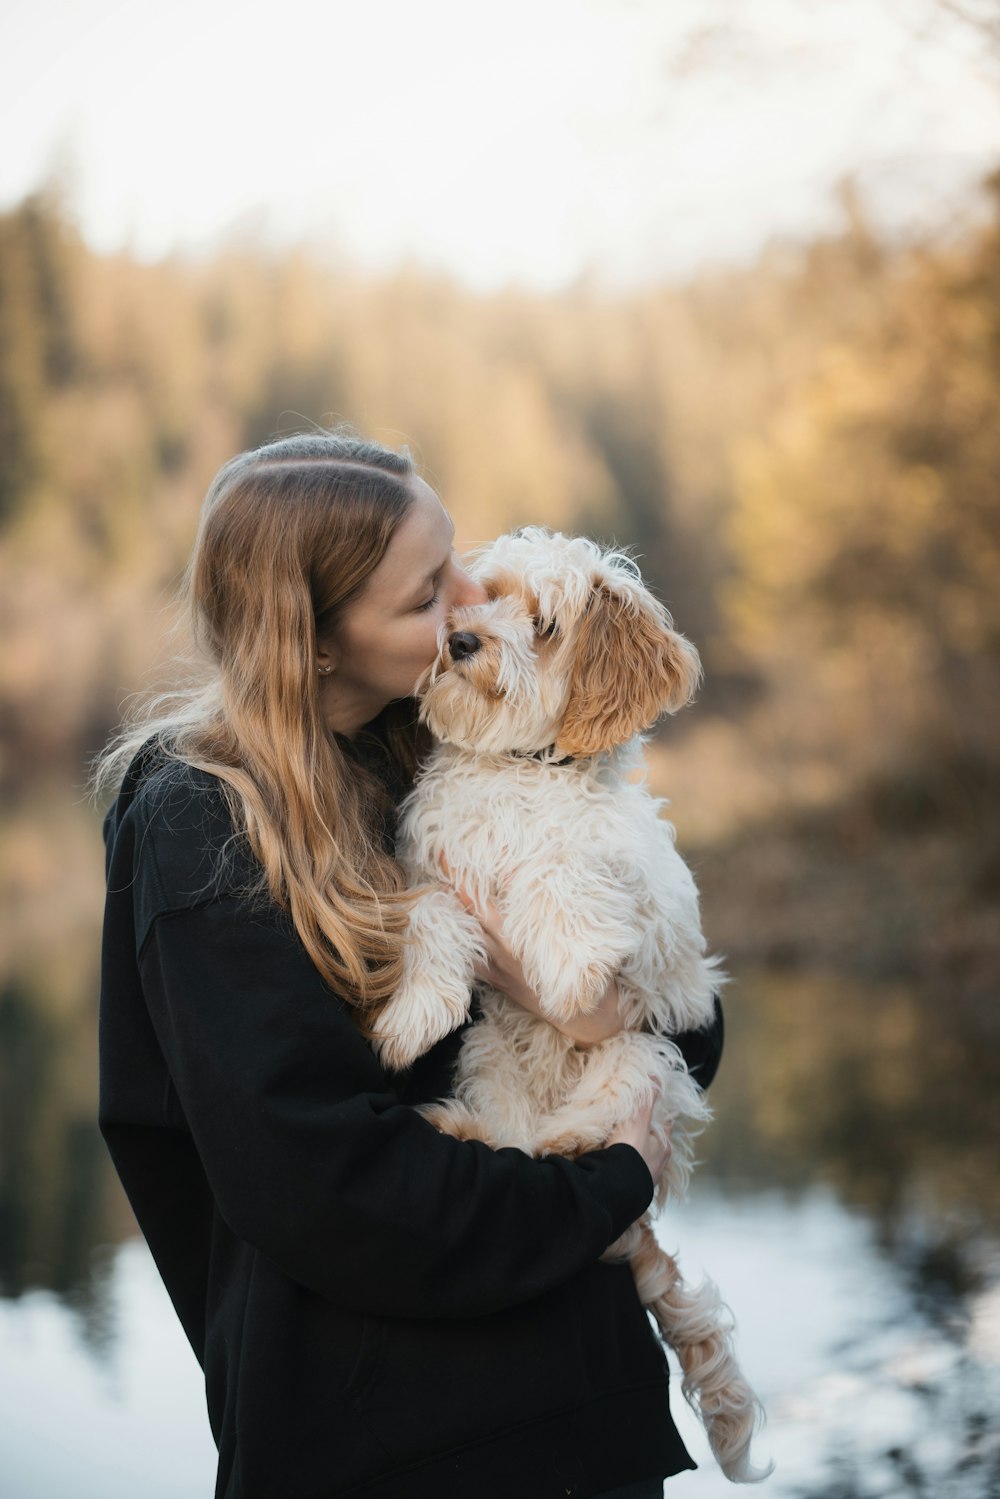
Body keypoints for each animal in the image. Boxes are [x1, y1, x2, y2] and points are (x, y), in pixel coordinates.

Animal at [371, 530, 773, 1487]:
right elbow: (432, 915)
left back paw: (570, 1139)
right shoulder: (432, 870)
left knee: (598, 1134)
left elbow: (565, 867)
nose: (463, 641)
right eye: (479, 596)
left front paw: (565, 963)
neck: (516, 773)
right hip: (488, 1054)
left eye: (545, 625)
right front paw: (412, 1014)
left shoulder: (655, 921)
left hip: (646, 1058)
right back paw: (472, 1129)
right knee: (512, 1147)